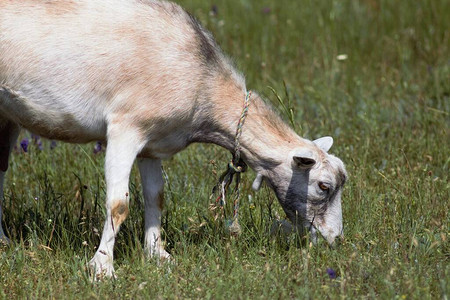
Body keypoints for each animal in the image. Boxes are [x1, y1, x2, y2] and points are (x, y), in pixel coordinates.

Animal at [0, 0, 348, 278]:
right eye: (323, 186)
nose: (335, 239)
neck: (204, 87)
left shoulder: (152, 143)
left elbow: (156, 197)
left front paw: (158, 255)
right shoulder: (126, 127)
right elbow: (118, 204)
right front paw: (102, 268)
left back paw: (3, 242)